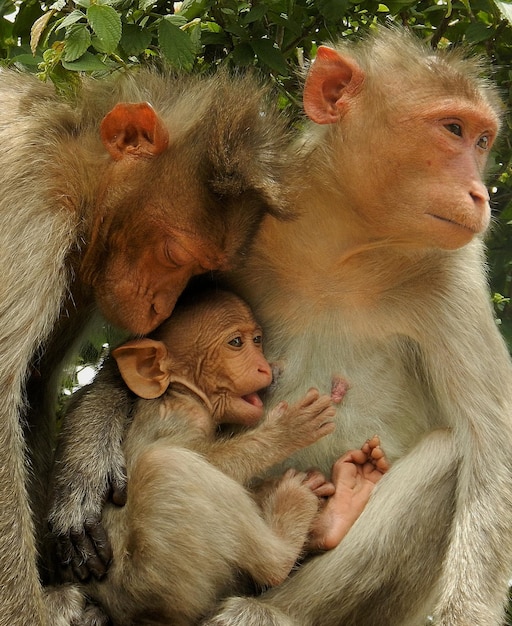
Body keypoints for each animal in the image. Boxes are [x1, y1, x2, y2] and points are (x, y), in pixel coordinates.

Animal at [0, 68, 292, 624]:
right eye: (174, 253)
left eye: (199, 270)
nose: (161, 304)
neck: (74, 165)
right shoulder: (32, 208)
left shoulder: (74, 264)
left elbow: (36, 383)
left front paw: (87, 458)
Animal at [54, 290, 388, 620]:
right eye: (236, 343)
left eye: (257, 340)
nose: (264, 367)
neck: (183, 392)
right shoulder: (182, 416)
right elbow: (203, 459)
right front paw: (285, 432)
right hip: (157, 583)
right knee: (168, 465)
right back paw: (285, 541)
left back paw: (328, 518)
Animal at [211, 26, 512, 624]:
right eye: (453, 129)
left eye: (483, 141)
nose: (479, 194)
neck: (341, 250)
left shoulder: (451, 273)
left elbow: (493, 449)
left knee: (449, 454)